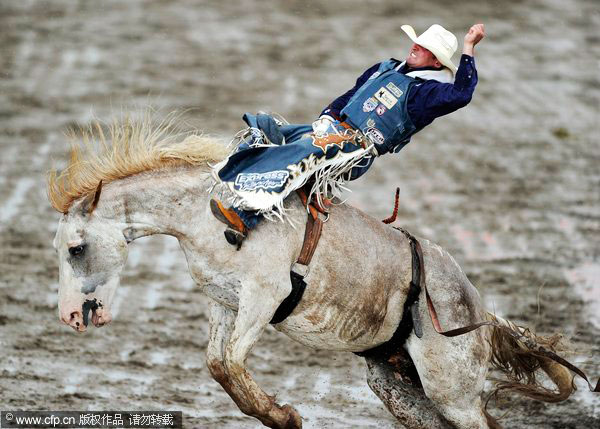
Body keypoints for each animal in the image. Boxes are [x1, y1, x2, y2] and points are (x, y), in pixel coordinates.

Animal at [47, 115, 596, 426]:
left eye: (75, 247)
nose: (70, 316)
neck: (213, 211)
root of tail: (479, 308)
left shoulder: (264, 296)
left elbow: (231, 362)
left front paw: (283, 416)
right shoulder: (224, 301)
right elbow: (218, 363)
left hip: (453, 392)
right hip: (399, 389)